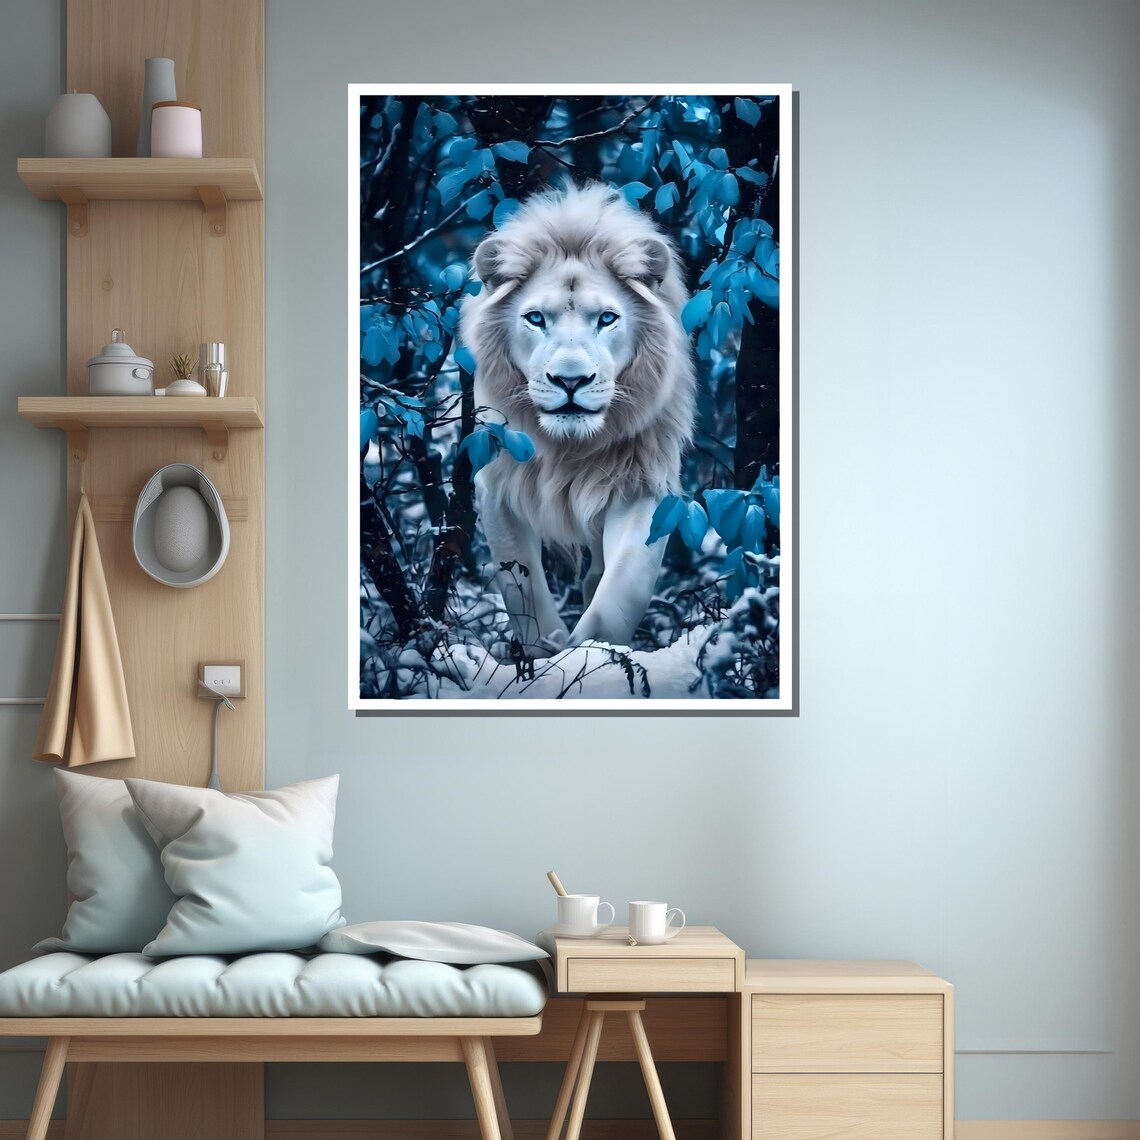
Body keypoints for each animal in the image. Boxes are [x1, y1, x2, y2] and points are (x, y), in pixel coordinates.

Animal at [458, 182, 697, 654]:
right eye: (535, 318)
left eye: (607, 318)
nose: (571, 380)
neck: (569, 448)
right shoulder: (498, 488)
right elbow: (524, 593)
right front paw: (547, 656)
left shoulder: (643, 487)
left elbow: (621, 589)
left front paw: (589, 655)